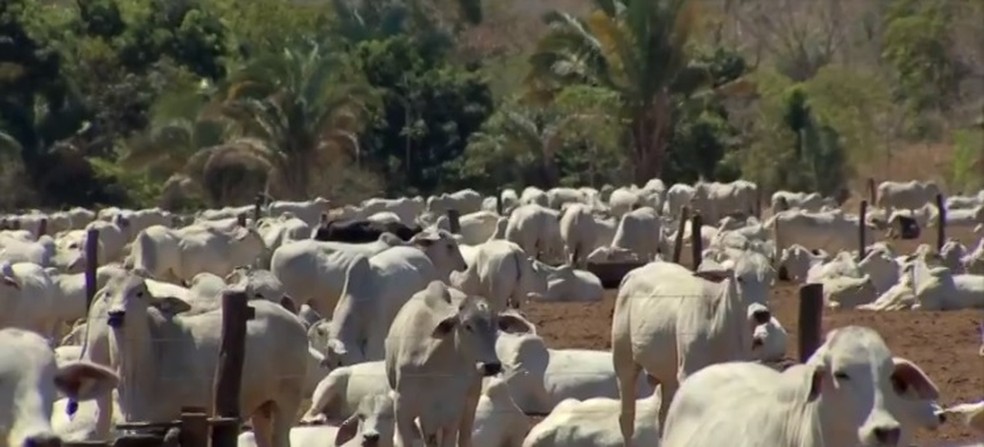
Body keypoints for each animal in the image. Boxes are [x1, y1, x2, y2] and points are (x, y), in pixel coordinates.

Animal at [83, 272, 308, 447]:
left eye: (139, 293)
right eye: (108, 294)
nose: (116, 314)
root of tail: (291, 317)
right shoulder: (138, 427)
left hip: (287, 399)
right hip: (262, 406)